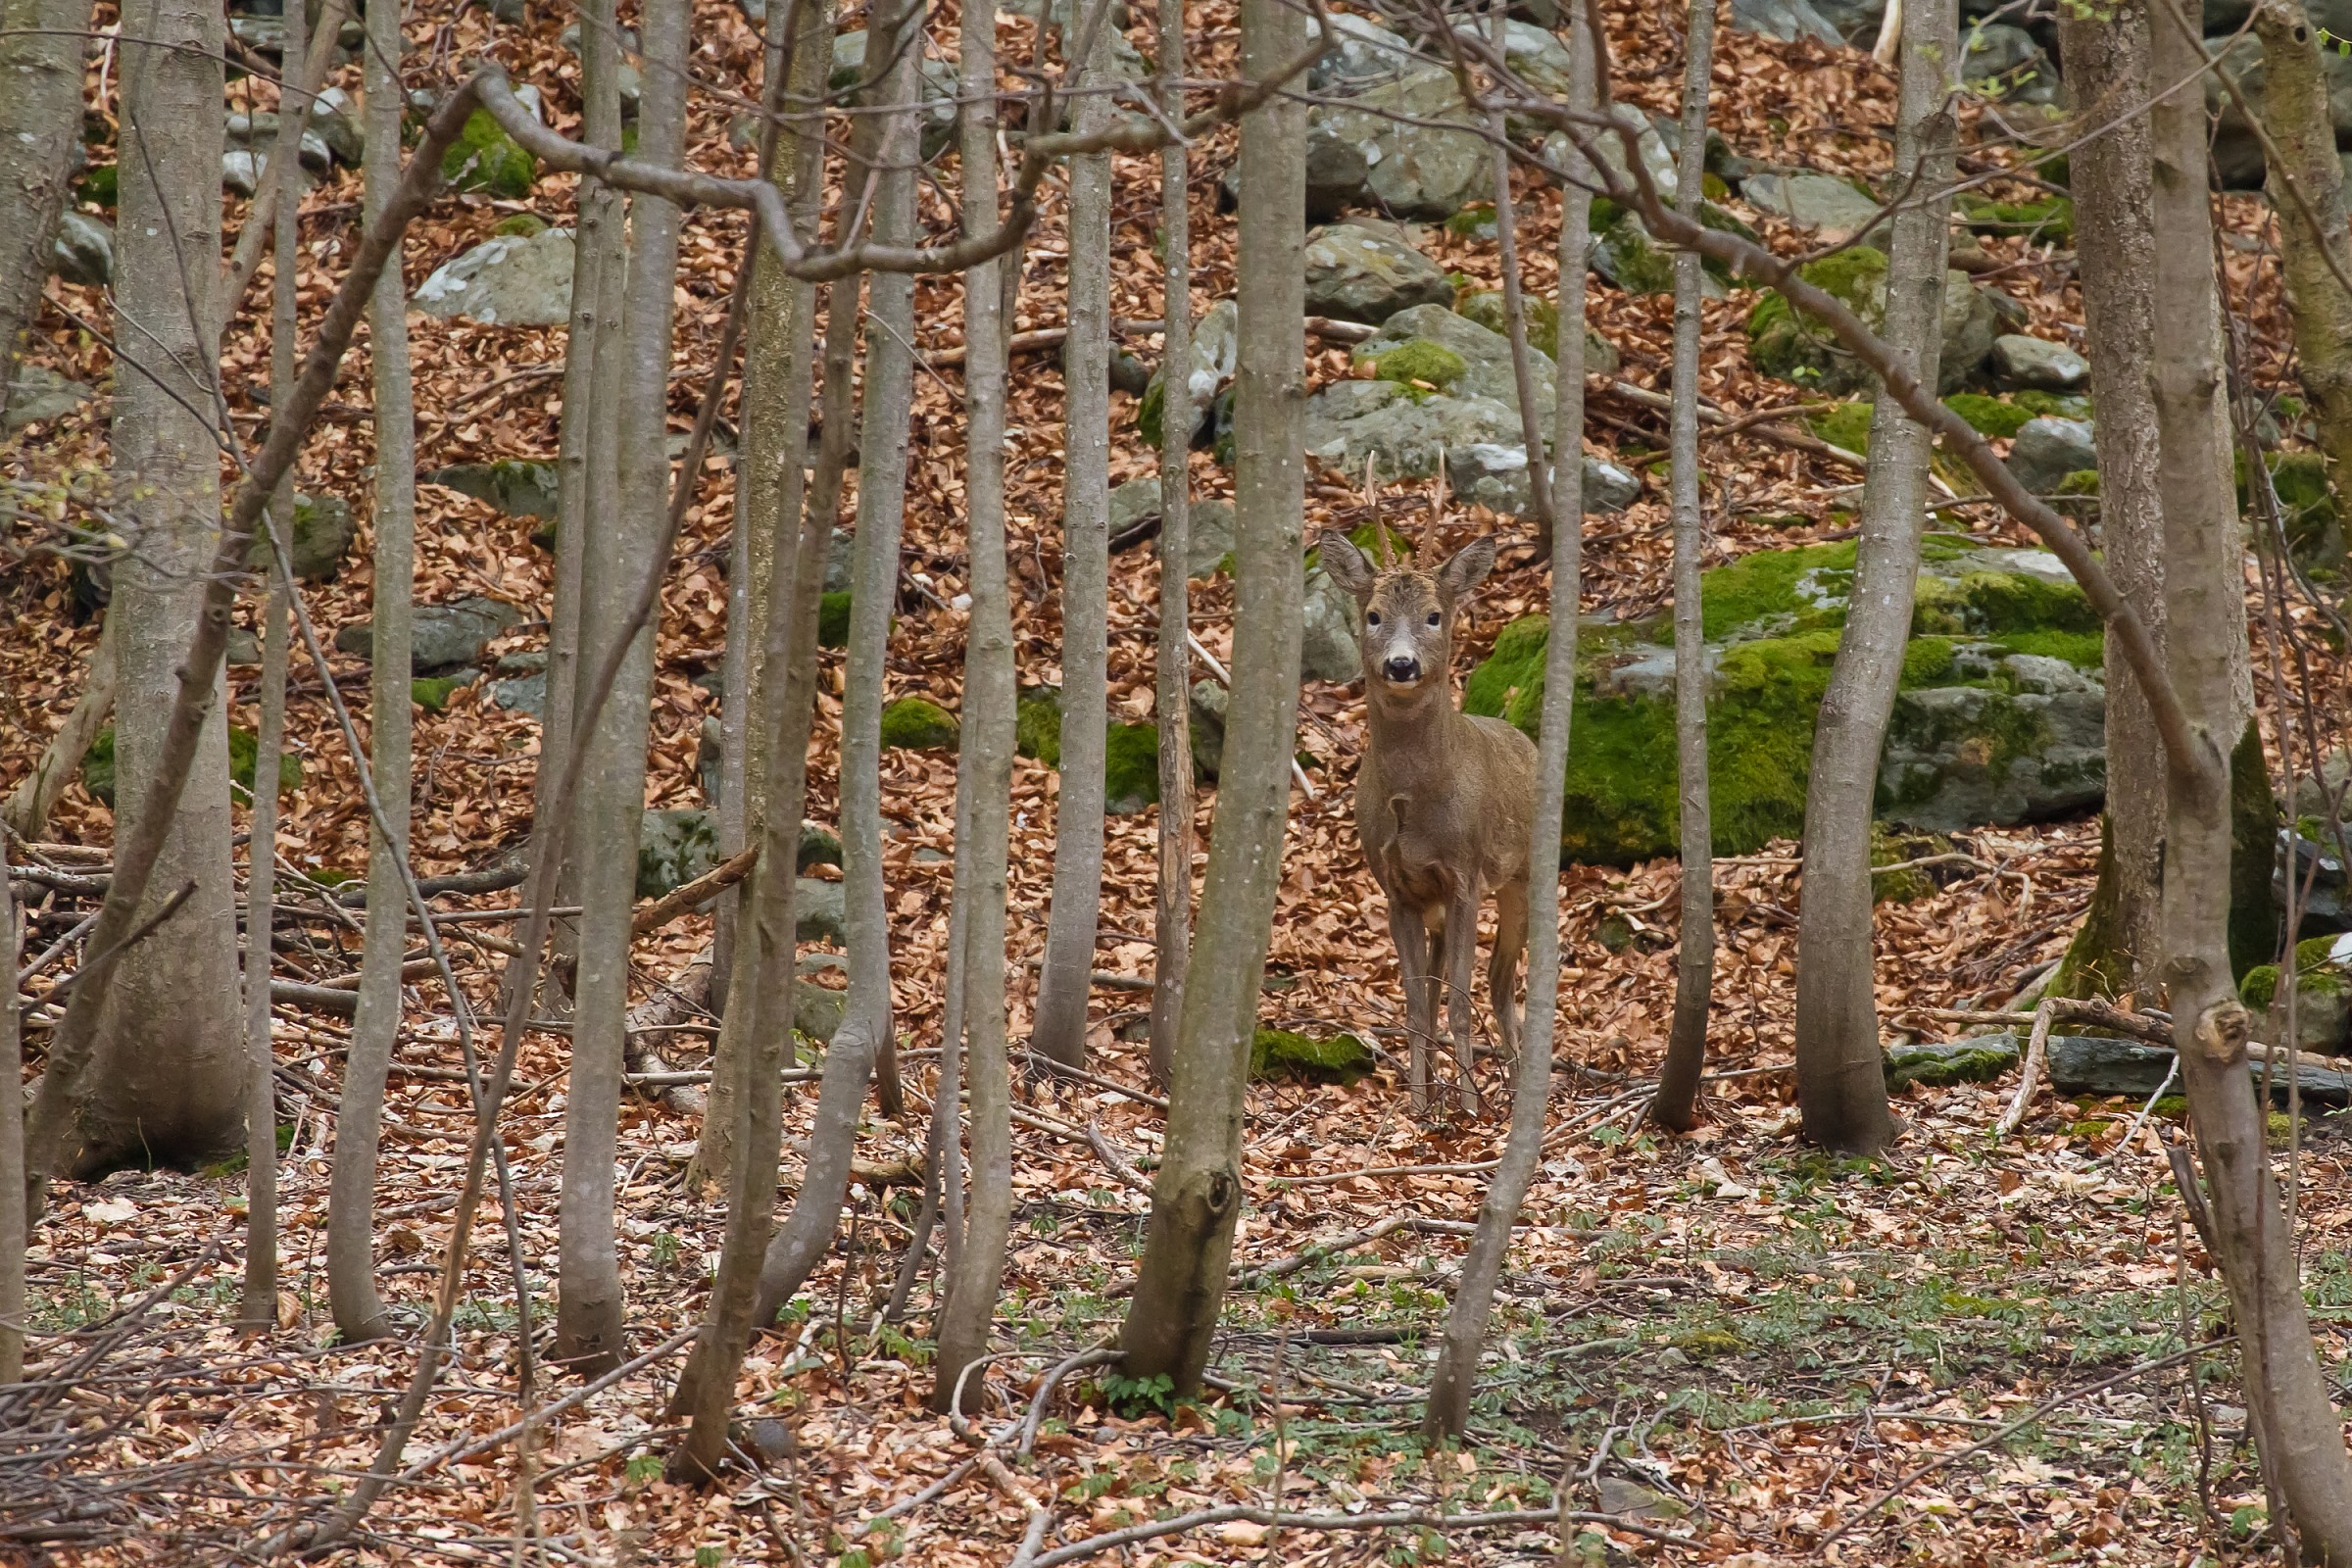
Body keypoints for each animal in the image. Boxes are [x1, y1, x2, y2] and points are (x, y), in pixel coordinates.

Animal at [1317, 511, 1537, 1114]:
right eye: (1372, 615)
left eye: (1435, 615)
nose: (1401, 663)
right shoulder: (1398, 887)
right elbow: (1418, 1003)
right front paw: (1419, 1103)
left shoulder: (1465, 876)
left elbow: (1460, 1000)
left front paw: (1468, 1106)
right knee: (1456, 984)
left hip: (1525, 876)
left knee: (1500, 981)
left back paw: (1512, 1081)